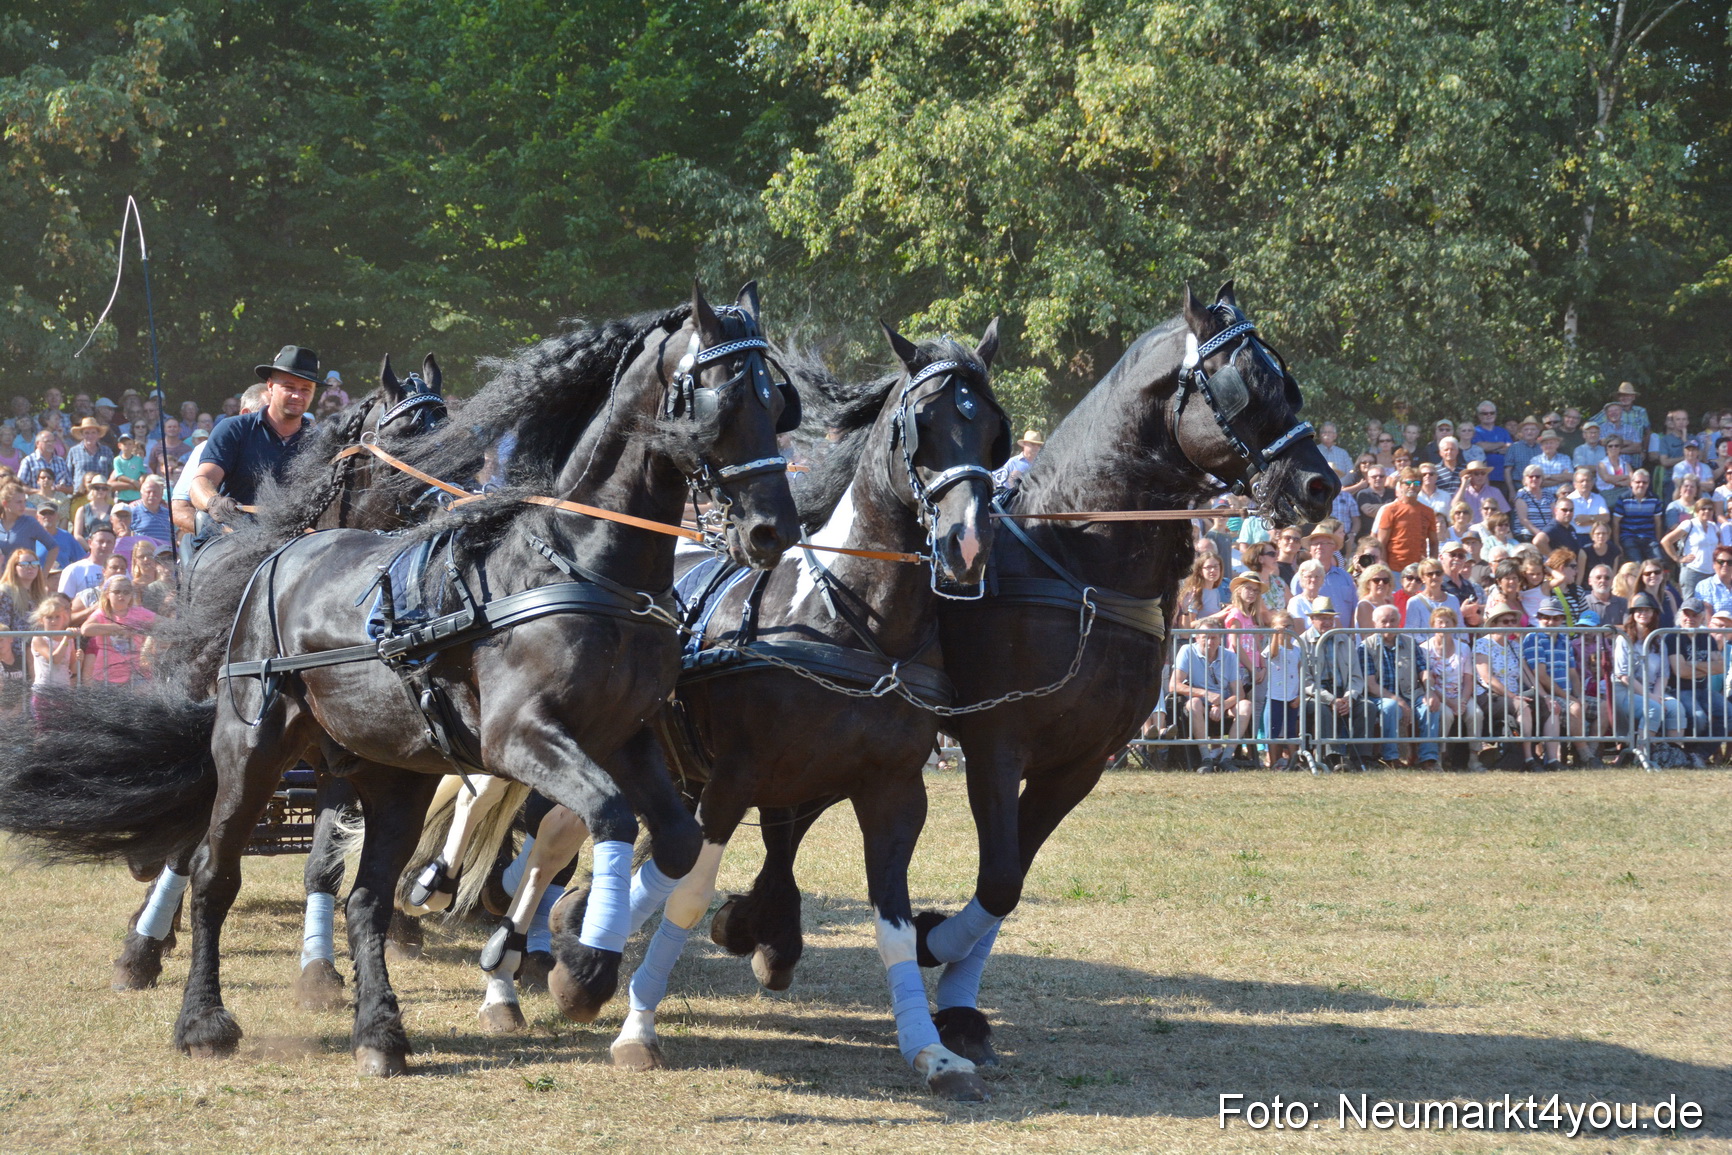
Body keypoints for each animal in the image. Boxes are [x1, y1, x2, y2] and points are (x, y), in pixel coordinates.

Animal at [110, 354, 453, 999]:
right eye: (403, 434)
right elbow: (190, 846)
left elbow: (326, 864)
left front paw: (320, 967)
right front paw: (143, 948)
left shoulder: (344, 756)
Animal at [709, 283, 1340, 1067]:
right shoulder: (995, 742)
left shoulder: (1080, 762)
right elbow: (1002, 877)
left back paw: (767, 928)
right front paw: (931, 941)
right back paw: (761, 927)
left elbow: (1007, 885)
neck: (1080, 563)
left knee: (790, 816)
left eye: (1286, 380)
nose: (1321, 482)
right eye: (1243, 386)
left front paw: (956, 1000)